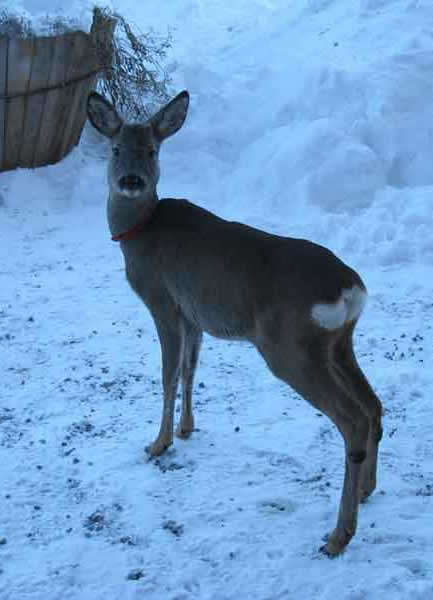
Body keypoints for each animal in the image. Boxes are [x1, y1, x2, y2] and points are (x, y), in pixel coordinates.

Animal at [85, 90, 382, 556]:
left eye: (152, 150)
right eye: (116, 149)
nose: (131, 180)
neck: (138, 234)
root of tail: (350, 287)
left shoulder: (163, 302)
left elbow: (168, 374)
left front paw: (158, 443)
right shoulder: (194, 316)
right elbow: (190, 370)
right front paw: (186, 429)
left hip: (289, 347)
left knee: (352, 419)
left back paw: (338, 537)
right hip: (338, 343)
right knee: (373, 405)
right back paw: (366, 491)